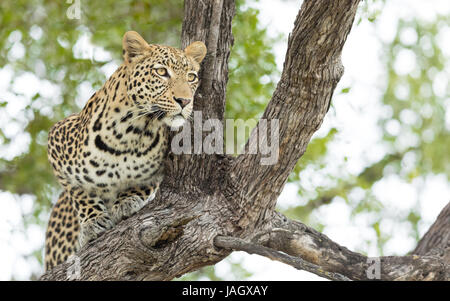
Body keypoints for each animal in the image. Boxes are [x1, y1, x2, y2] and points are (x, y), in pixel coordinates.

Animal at [44, 30, 206, 270]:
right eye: (161, 72)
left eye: (192, 77)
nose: (184, 100)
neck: (132, 131)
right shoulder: (57, 140)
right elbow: (78, 190)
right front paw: (93, 221)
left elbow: (145, 182)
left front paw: (127, 201)